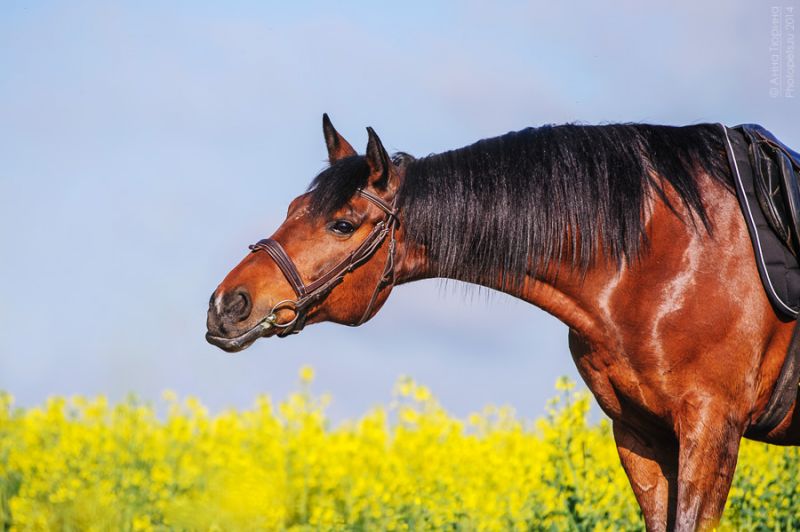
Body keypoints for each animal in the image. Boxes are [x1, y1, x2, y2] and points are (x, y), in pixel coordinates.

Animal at [206, 114, 800, 528]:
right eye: (292, 208)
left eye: (343, 224)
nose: (226, 305)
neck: (666, 250)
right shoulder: (640, 433)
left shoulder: (711, 426)